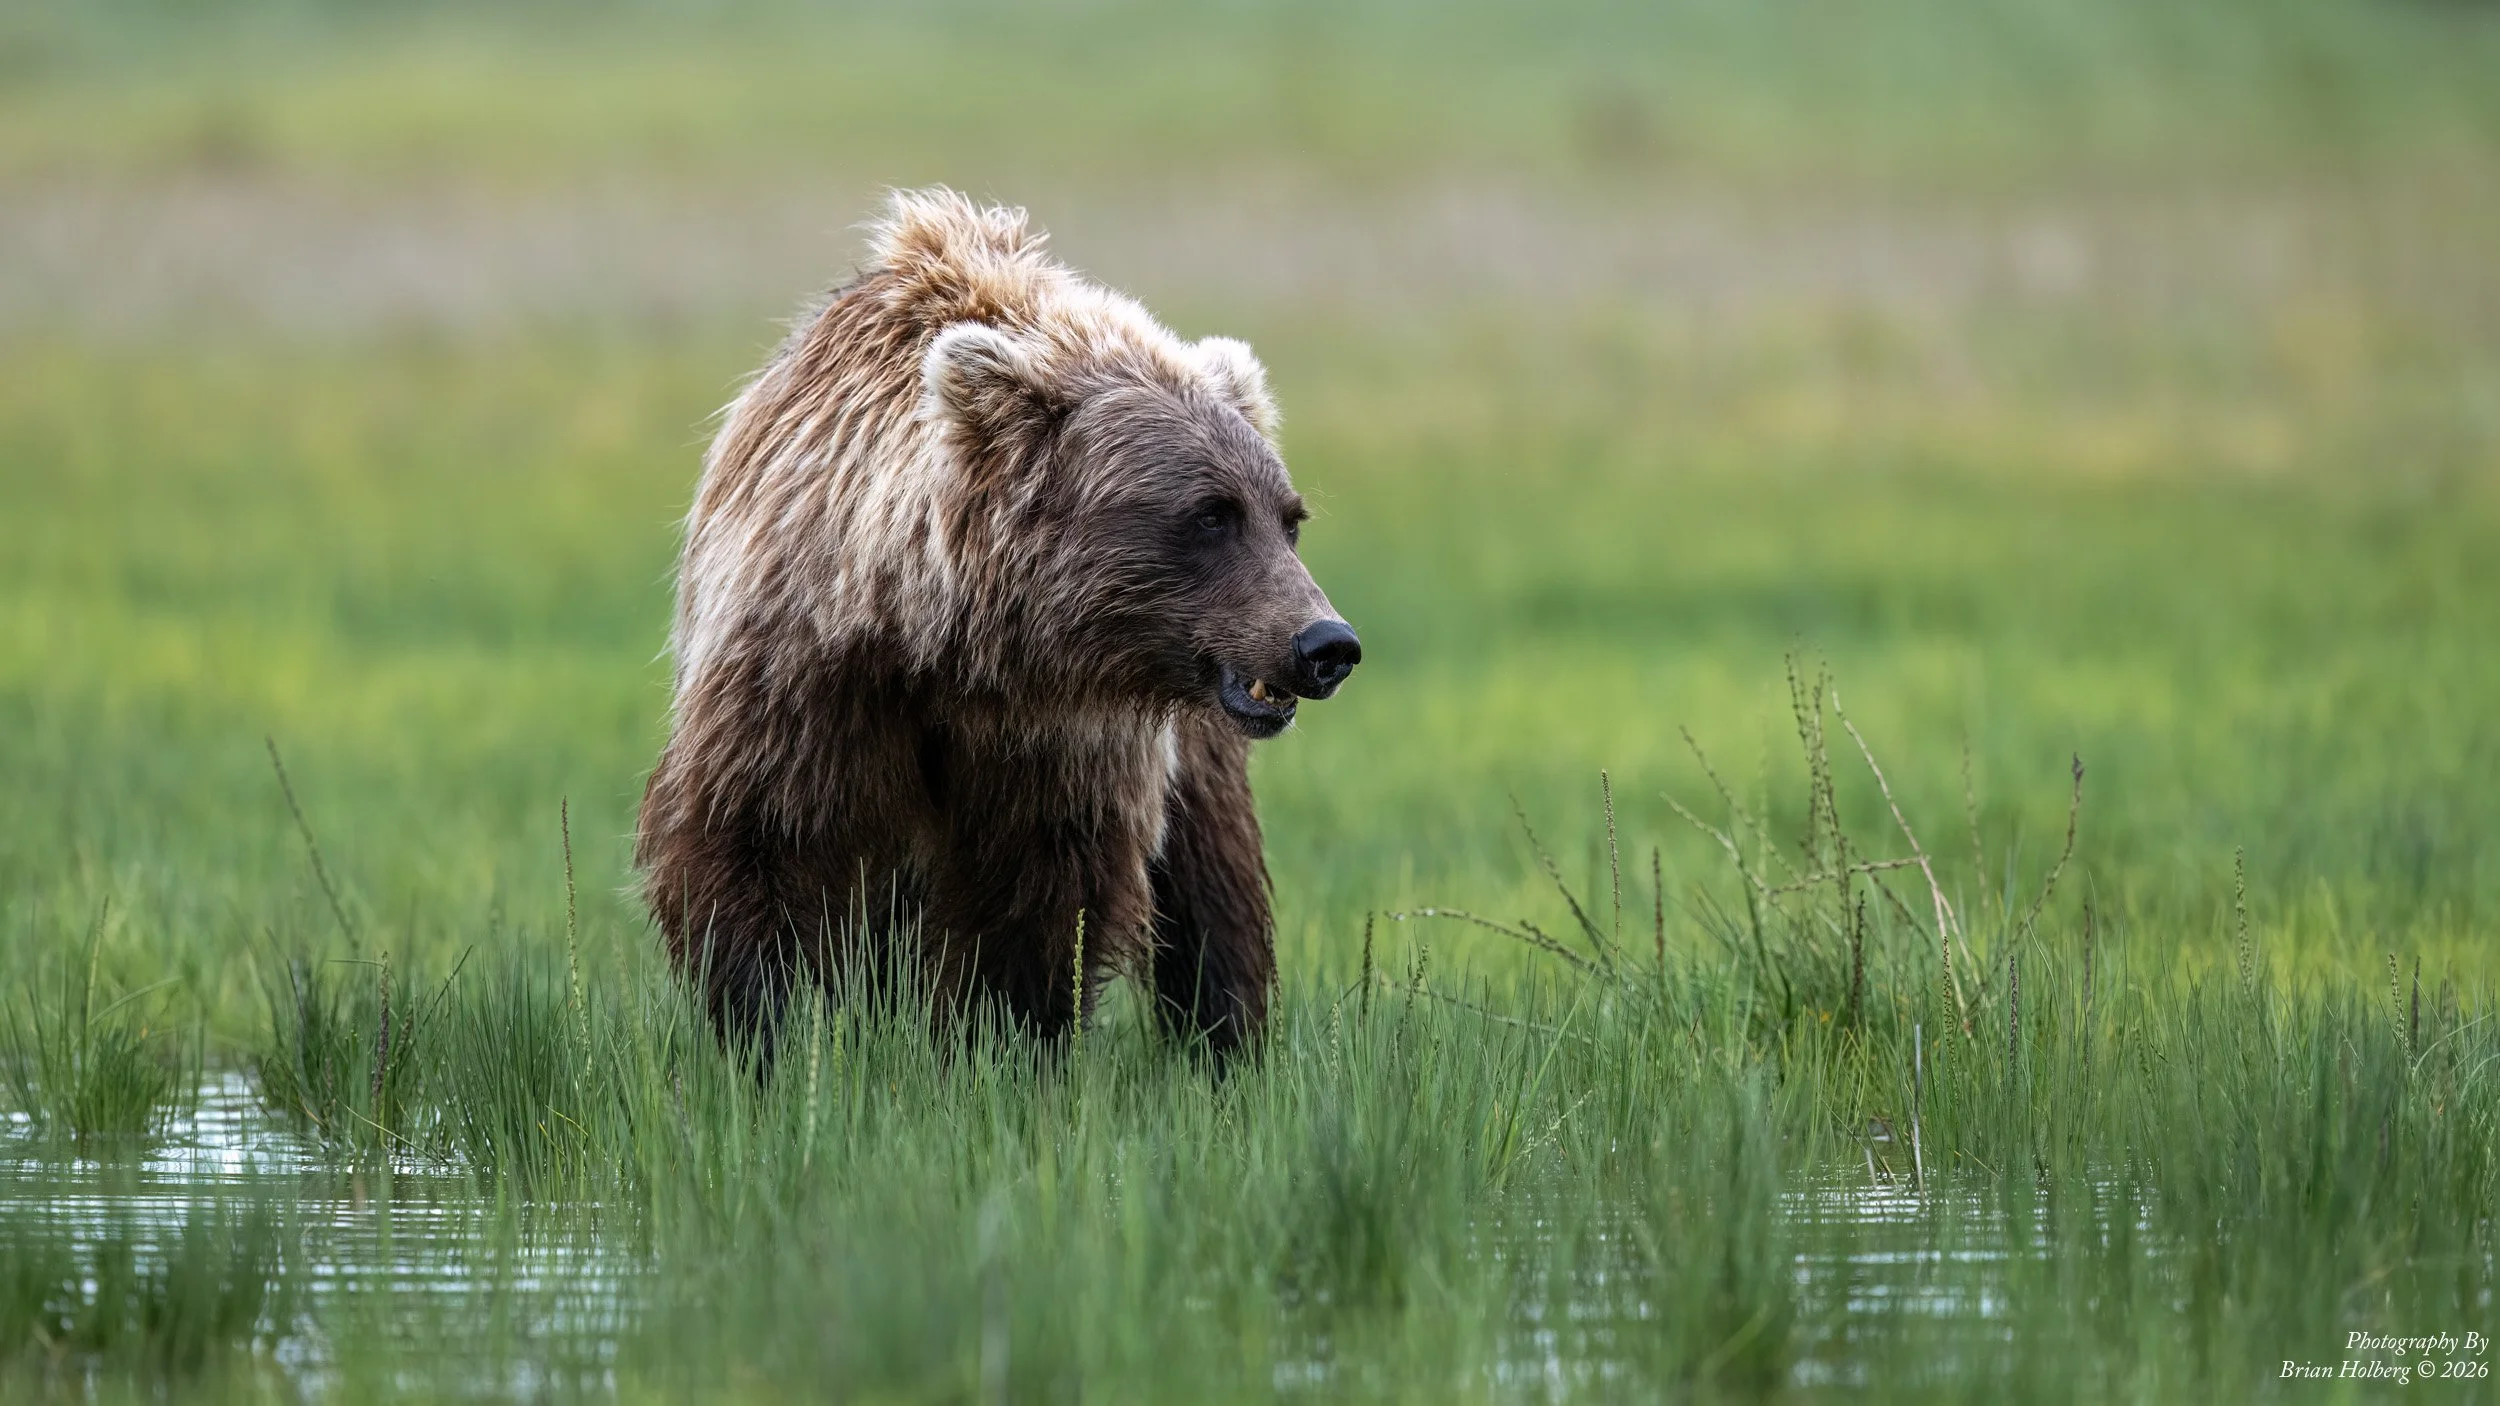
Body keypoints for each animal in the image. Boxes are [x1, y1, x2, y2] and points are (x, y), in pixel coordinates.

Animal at [635, 188, 1360, 1060]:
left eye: (1288, 518)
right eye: (1210, 514)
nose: (1324, 643)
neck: (943, 646)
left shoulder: (1055, 746)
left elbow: (1035, 906)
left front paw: (996, 1047)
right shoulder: (800, 681)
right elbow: (754, 845)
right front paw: (770, 1039)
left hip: (1197, 750)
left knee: (1214, 891)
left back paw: (1226, 1043)